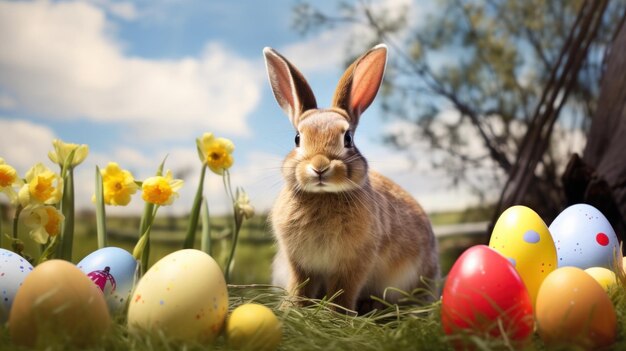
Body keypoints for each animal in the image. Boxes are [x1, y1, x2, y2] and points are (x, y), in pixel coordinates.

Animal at [260, 44, 436, 314]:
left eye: (348, 139)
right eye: (297, 138)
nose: (320, 167)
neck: (323, 195)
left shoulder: (354, 264)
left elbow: (342, 293)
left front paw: (336, 314)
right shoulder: (298, 264)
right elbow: (300, 288)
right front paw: (292, 309)